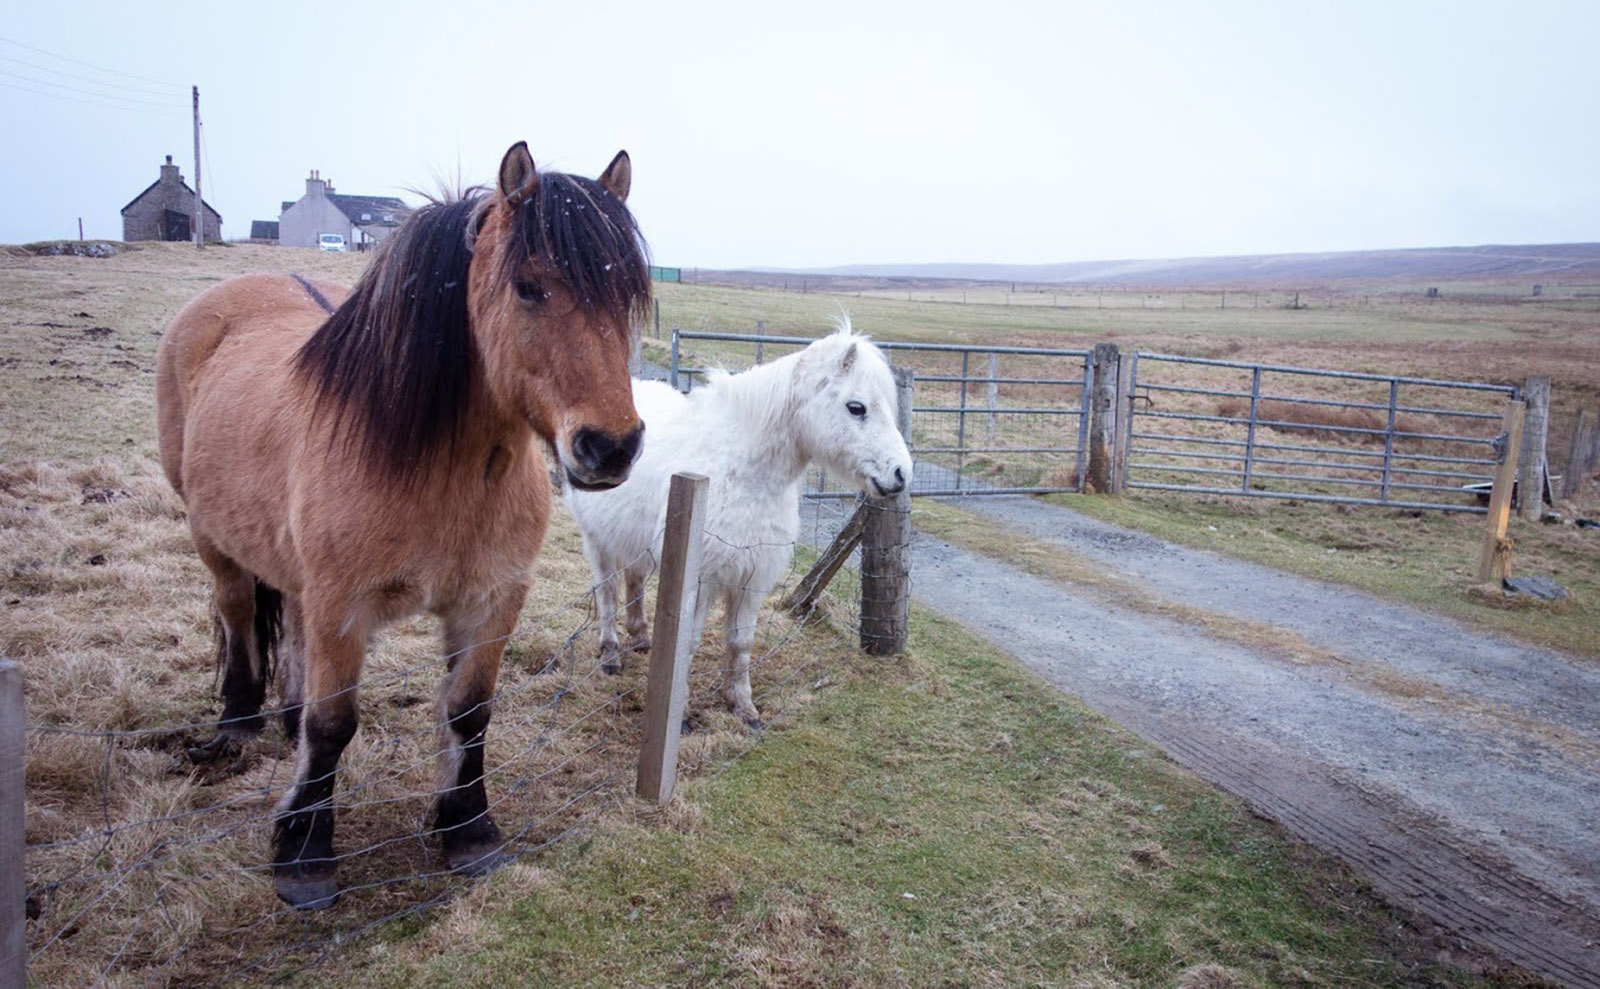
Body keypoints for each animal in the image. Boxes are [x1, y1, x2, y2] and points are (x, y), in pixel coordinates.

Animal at [152, 142, 646, 902]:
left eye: (626, 296)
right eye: (529, 287)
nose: (611, 446)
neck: (439, 468)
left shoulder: (492, 601)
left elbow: (469, 711)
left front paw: (468, 829)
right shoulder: (343, 605)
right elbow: (334, 722)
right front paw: (304, 854)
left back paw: (284, 720)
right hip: (214, 540)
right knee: (237, 613)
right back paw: (237, 724)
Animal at [563, 323, 915, 723]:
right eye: (856, 407)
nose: (901, 474)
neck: (743, 470)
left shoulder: (752, 578)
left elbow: (740, 640)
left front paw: (744, 706)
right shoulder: (700, 581)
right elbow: (688, 644)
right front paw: (682, 713)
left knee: (633, 581)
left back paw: (640, 639)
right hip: (597, 540)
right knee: (606, 591)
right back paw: (610, 654)